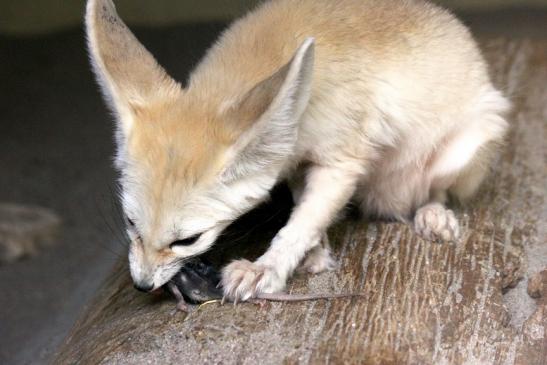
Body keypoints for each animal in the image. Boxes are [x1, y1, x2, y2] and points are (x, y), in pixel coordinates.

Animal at [85, 0, 510, 298]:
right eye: (130, 223)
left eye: (188, 241)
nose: (141, 285)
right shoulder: (292, 164)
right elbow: (306, 213)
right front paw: (314, 252)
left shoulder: (341, 163)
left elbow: (302, 222)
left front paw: (267, 268)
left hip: (465, 147)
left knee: (435, 190)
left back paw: (432, 214)